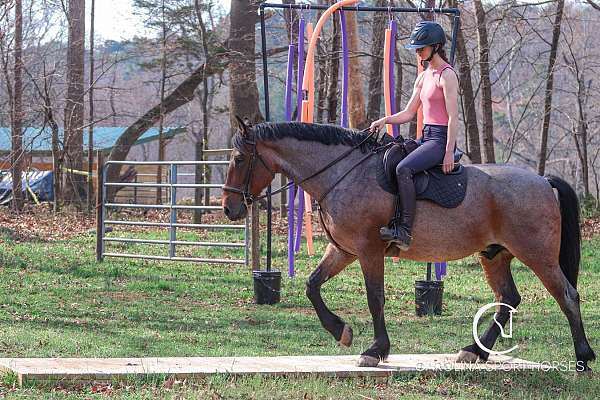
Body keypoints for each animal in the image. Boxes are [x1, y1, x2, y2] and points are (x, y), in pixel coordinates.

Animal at [221, 119, 596, 372]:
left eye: (239, 159)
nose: (228, 208)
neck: (343, 174)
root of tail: (542, 180)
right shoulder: (343, 250)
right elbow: (312, 286)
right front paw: (341, 331)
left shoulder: (368, 251)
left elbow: (375, 298)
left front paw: (375, 350)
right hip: (494, 255)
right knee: (508, 298)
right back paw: (475, 351)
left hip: (537, 255)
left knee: (567, 295)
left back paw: (583, 357)